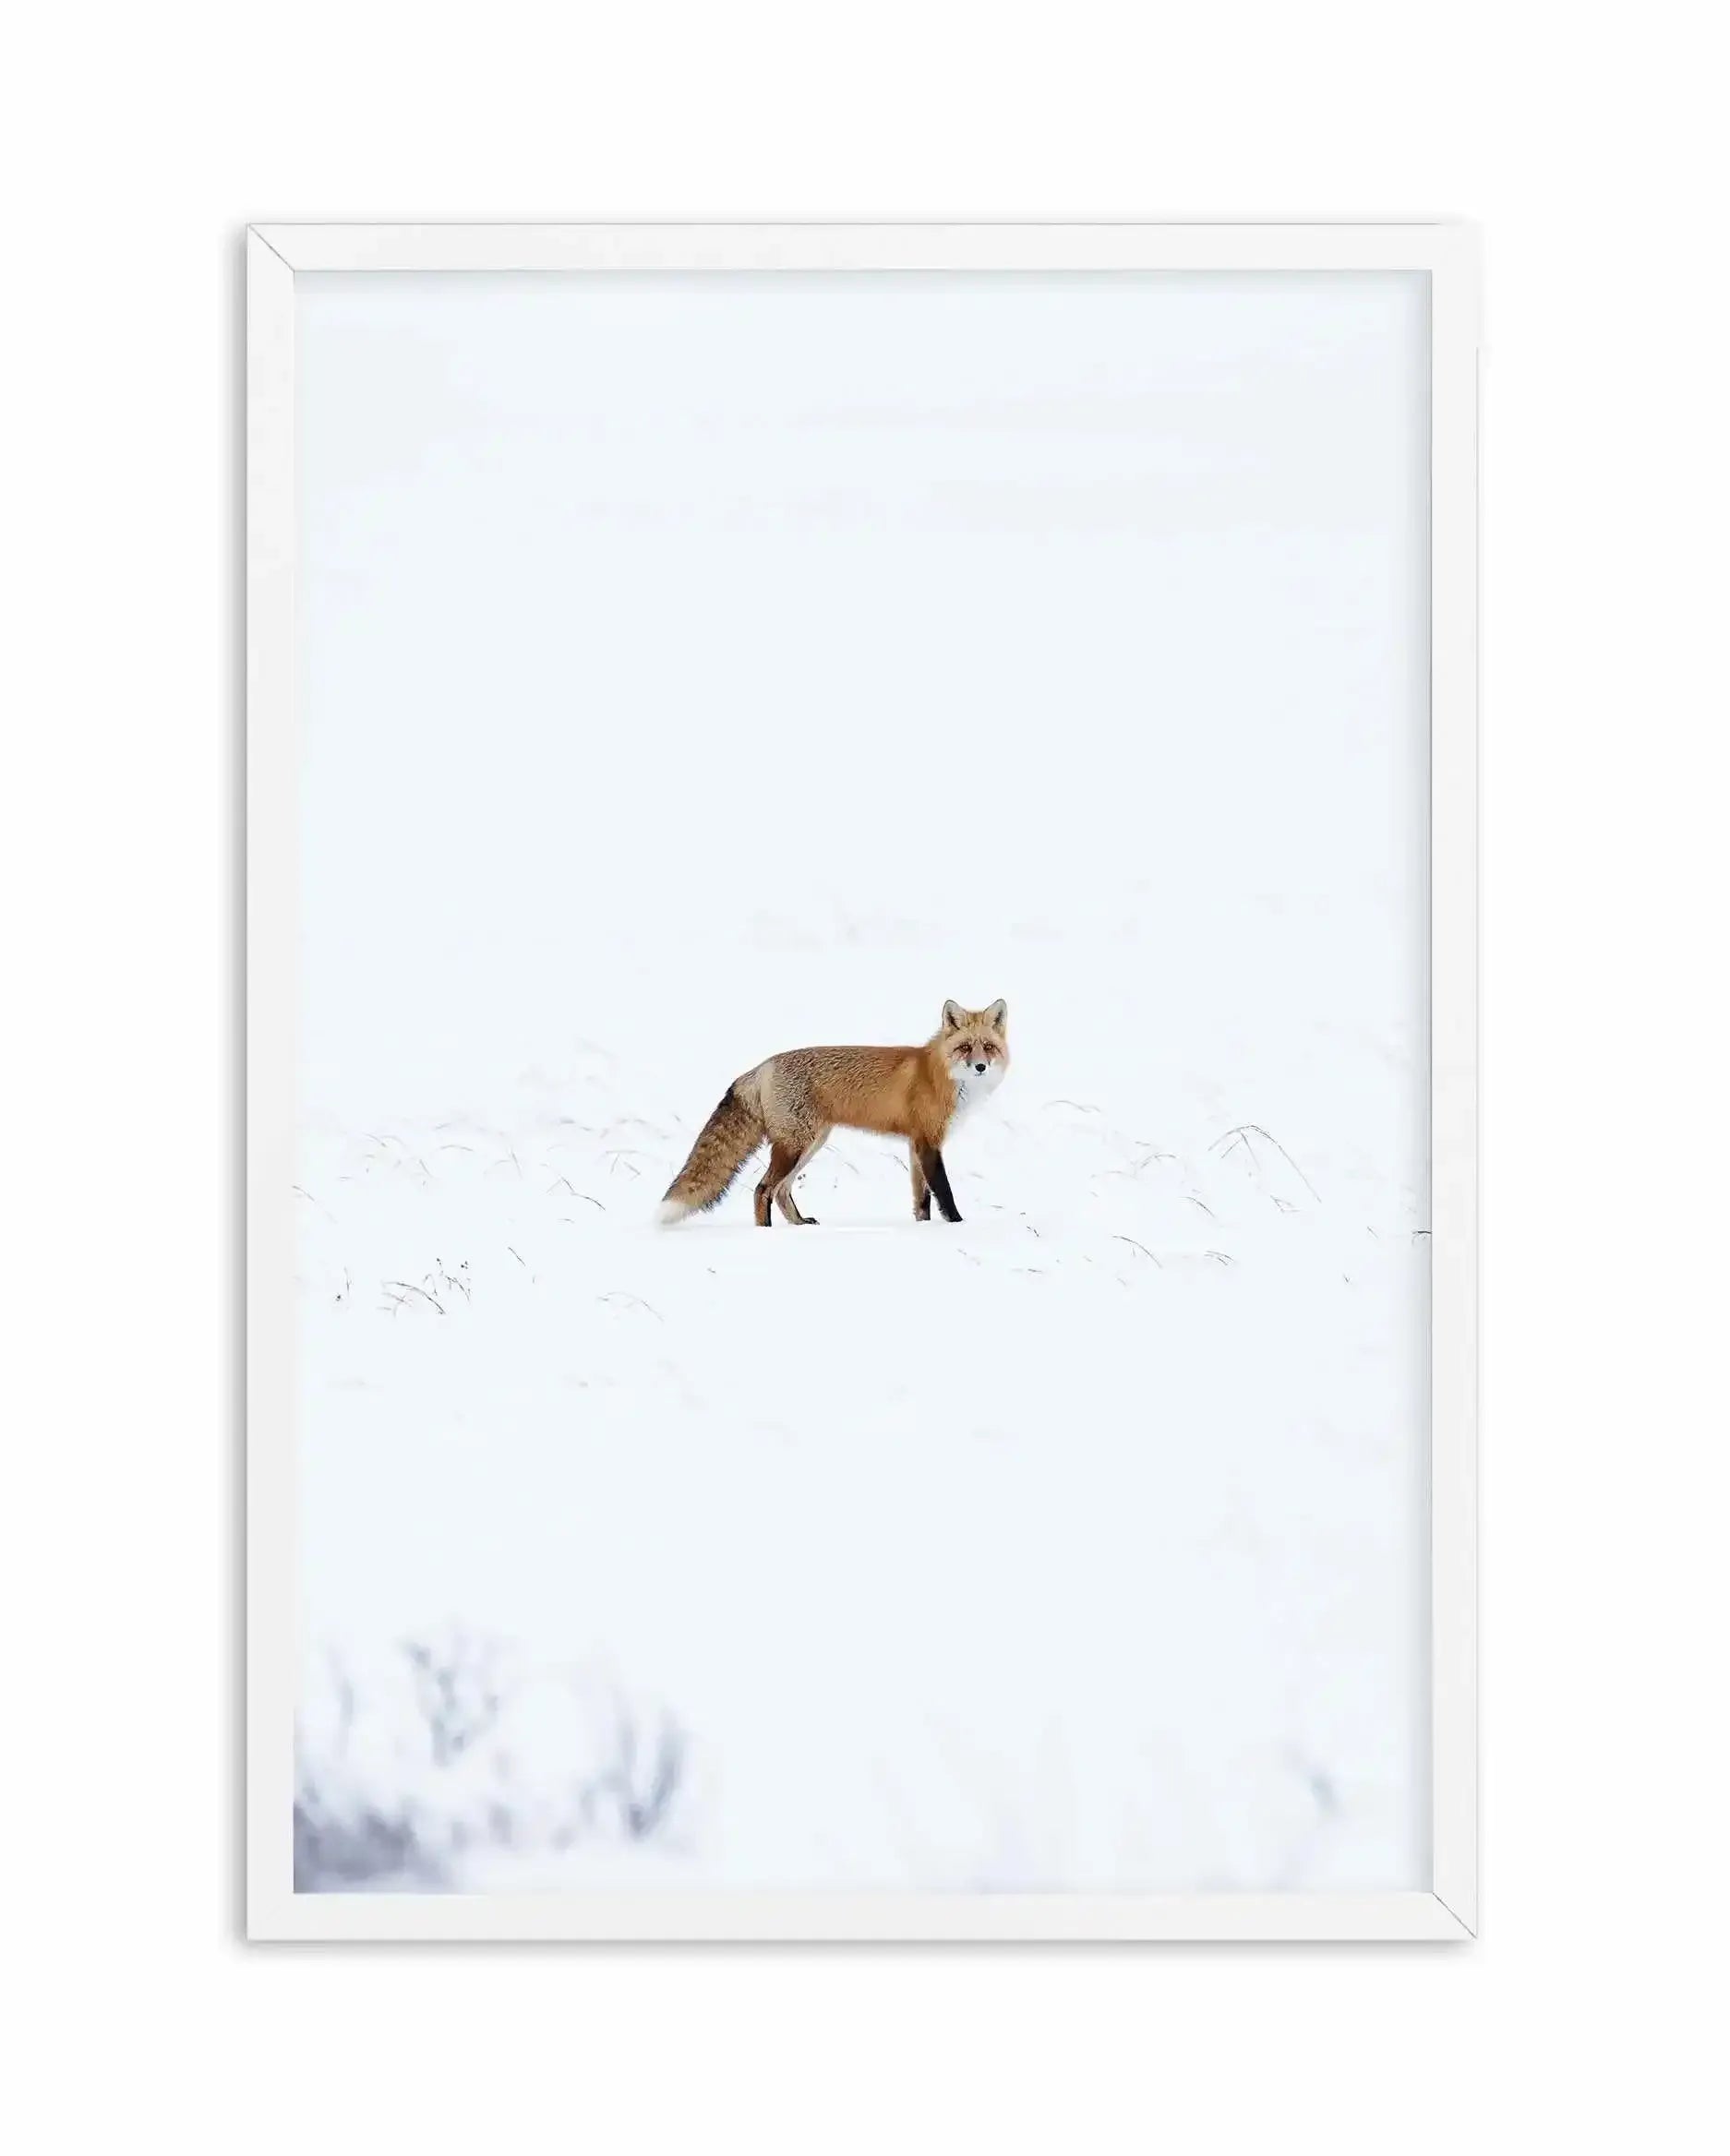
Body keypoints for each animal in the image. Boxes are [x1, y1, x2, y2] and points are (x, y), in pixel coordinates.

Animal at [657, 999, 1009, 1227]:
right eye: (965, 1048)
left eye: (988, 1048)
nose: (980, 1067)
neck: (941, 1075)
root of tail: (762, 1066)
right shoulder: (928, 1142)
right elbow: (944, 1193)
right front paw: (957, 1226)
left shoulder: (915, 1145)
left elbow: (921, 1199)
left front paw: (923, 1228)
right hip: (796, 1145)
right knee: (763, 1189)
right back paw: (767, 1232)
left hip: (811, 1144)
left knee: (781, 1190)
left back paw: (800, 1223)